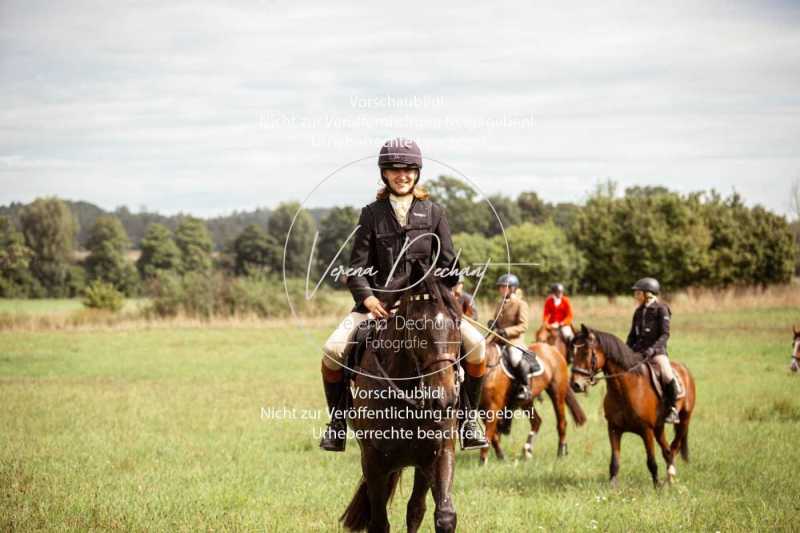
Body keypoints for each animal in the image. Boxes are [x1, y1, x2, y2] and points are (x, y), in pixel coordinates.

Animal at [342, 274, 462, 532]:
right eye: (417, 327)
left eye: (456, 323)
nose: (444, 400)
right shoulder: (374, 461)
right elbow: (379, 523)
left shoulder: (438, 453)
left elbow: (444, 515)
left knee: (416, 508)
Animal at [568, 324, 692, 486]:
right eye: (573, 352)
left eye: (586, 352)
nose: (575, 384)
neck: (625, 389)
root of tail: (684, 369)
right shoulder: (614, 429)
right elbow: (614, 461)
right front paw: (613, 485)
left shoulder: (646, 431)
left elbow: (651, 462)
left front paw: (656, 486)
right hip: (659, 428)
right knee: (667, 451)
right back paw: (669, 478)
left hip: (683, 421)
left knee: (674, 446)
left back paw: (670, 477)